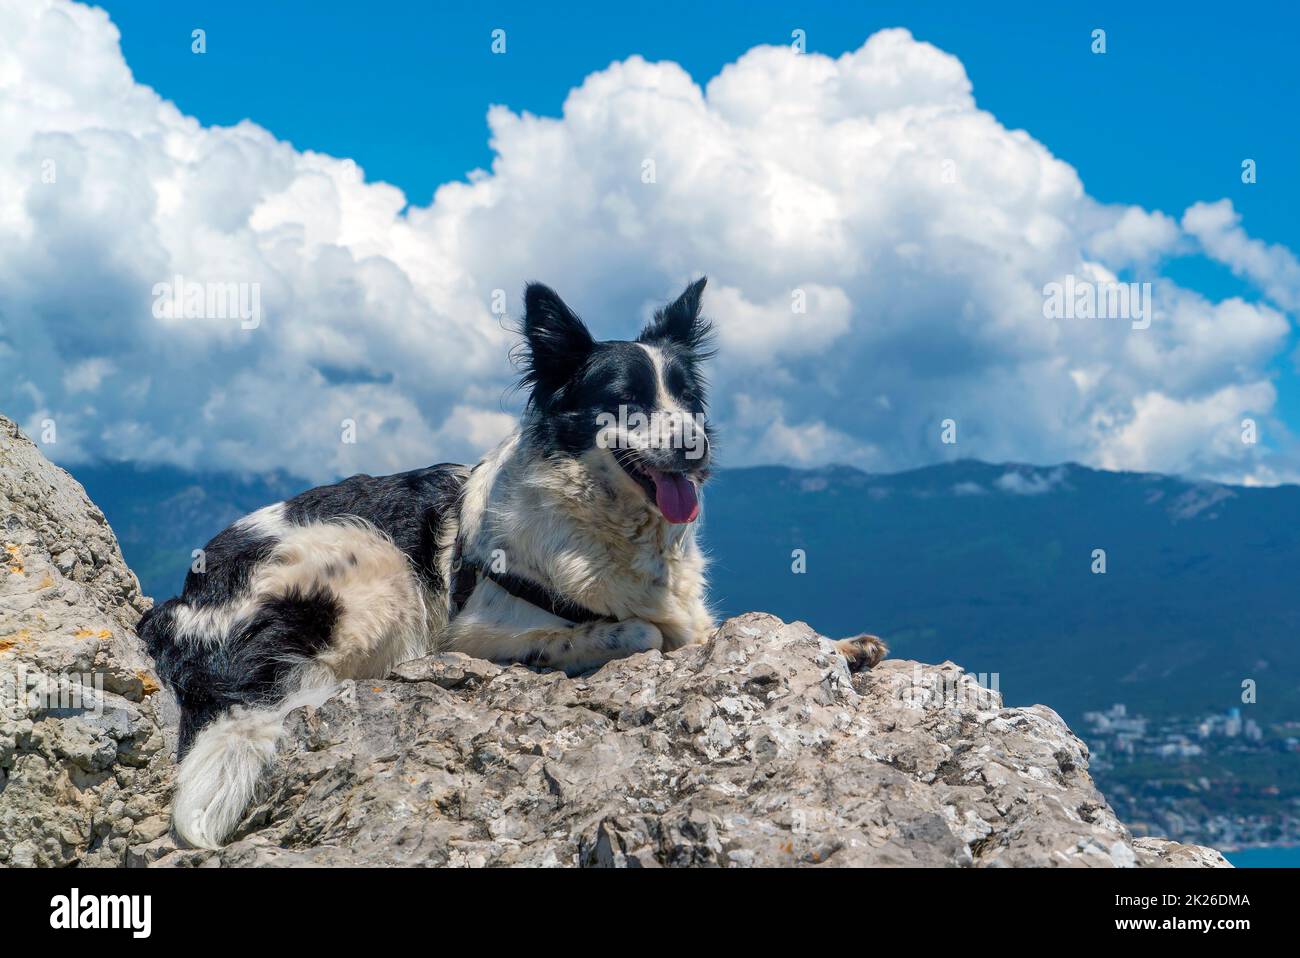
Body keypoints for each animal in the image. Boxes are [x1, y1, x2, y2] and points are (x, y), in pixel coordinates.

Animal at [142, 280, 889, 847]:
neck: (606, 523)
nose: (695, 445)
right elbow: (637, 632)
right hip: (377, 569)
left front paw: (846, 646)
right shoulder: (471, 629)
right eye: (625, 400)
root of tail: (181, 607)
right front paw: (605, 639)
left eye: (687, 398)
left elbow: (744, 628)